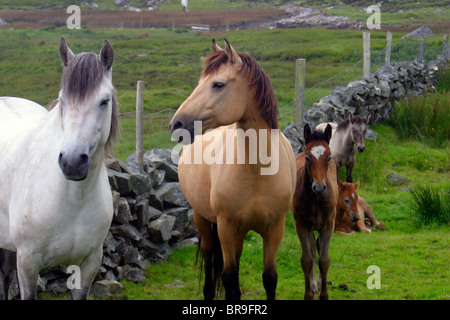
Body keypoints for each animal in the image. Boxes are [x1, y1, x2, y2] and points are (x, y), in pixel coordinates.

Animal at [0, 38, 118, 300]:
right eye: (63, 100)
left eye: (104, 101)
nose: (72, 162)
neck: (72, 197)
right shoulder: (28, 263)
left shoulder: (88, 264)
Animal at [168, 39, 296, 300]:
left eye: (218, 84)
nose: (176, 124)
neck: (256, 172)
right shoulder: (226, 228)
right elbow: (228, 277)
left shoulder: (275, 229)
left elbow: (270, 278)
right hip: (204, 221)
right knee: (210, 259)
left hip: (239, 232)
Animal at [292, 123, 338, 300]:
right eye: (307, 157)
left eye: (329, 157)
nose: (319, 187)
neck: (316, 200)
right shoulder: (301, 225)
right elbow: (307, 260)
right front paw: (309, 294)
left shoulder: (328, 225)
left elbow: (324, 260)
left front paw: (323, 294)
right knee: (312, 249)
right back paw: (313, 285)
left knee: (317, 247)